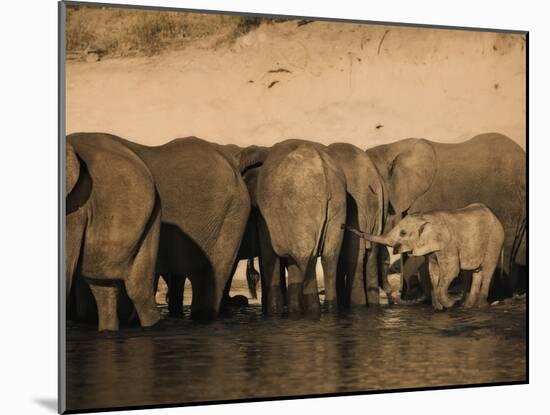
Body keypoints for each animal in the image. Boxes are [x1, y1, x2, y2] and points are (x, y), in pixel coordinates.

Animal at [360, 203, 506, 310]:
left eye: (403, 233)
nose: (346, 225)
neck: (425, 216)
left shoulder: (448, 243)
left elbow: (451, 270)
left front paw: (451, 304)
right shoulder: (433, 248)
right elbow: (434, 271)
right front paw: (439, 309)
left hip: (495, 239)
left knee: (487, 269)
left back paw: (480, 306)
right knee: (476, 271)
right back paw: (468, 307)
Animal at [368, 133, 528, 300]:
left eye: (372, 188)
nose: (391, 295)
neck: (392, 148)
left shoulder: (423, 197)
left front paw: (417, 299)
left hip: (507, 203)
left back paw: (495, 297)